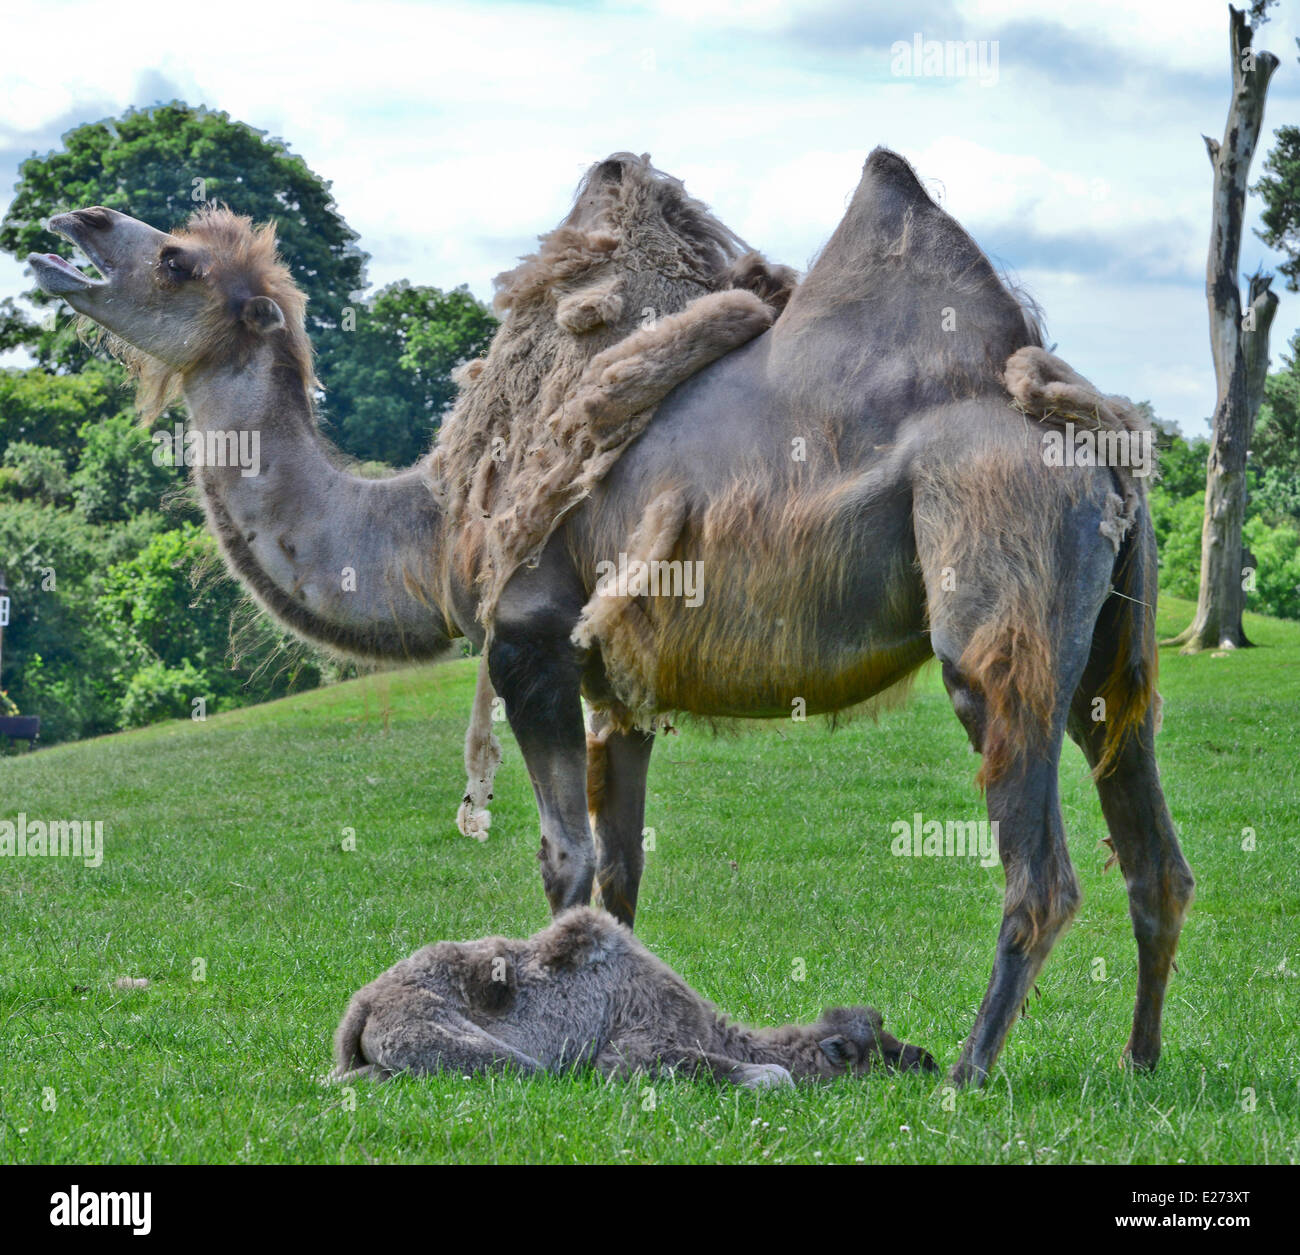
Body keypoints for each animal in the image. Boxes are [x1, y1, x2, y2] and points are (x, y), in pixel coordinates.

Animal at [335, 899, 935, 1087]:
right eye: (876, 1052)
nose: (927, 1059)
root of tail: (361, 1007)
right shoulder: (634, 1050)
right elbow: (775, 1076)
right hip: (481, 1053)